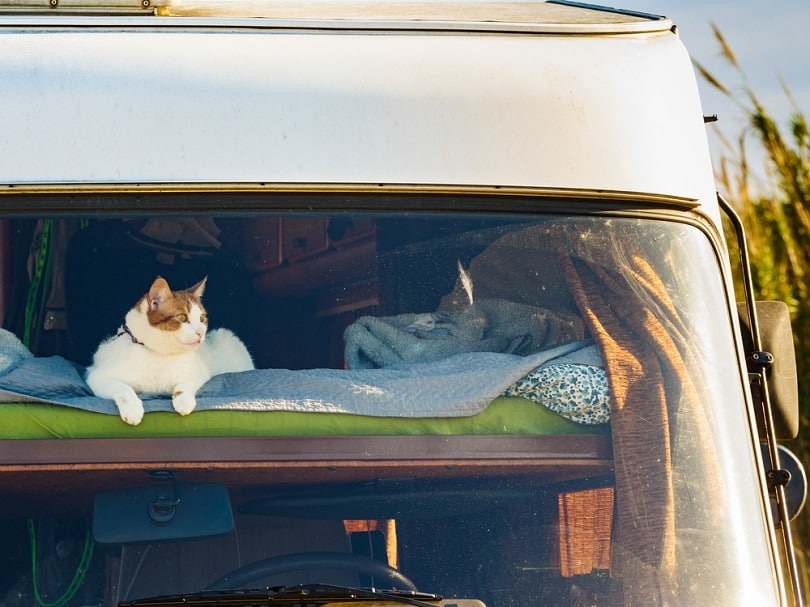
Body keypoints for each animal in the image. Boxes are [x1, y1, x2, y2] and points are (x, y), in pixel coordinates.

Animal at [85, 276, 252, 426]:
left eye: (202, 318)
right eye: (182, 317)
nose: (200, 333)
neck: (159, 353)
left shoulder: (199, 373)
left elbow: (186, 385)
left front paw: (183, 400)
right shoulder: (96, 377)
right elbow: (123, 388)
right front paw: (132, 409)